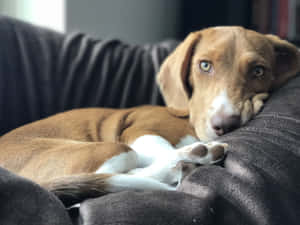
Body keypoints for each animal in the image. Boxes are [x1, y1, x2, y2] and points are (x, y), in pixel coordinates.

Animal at [0, 25, 300, 206]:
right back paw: (191, 158)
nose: (224, 125)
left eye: (259, 71)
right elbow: (157, 148)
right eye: (204, 65)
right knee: (119, 170)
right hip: (109, 148)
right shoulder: (140, 131)